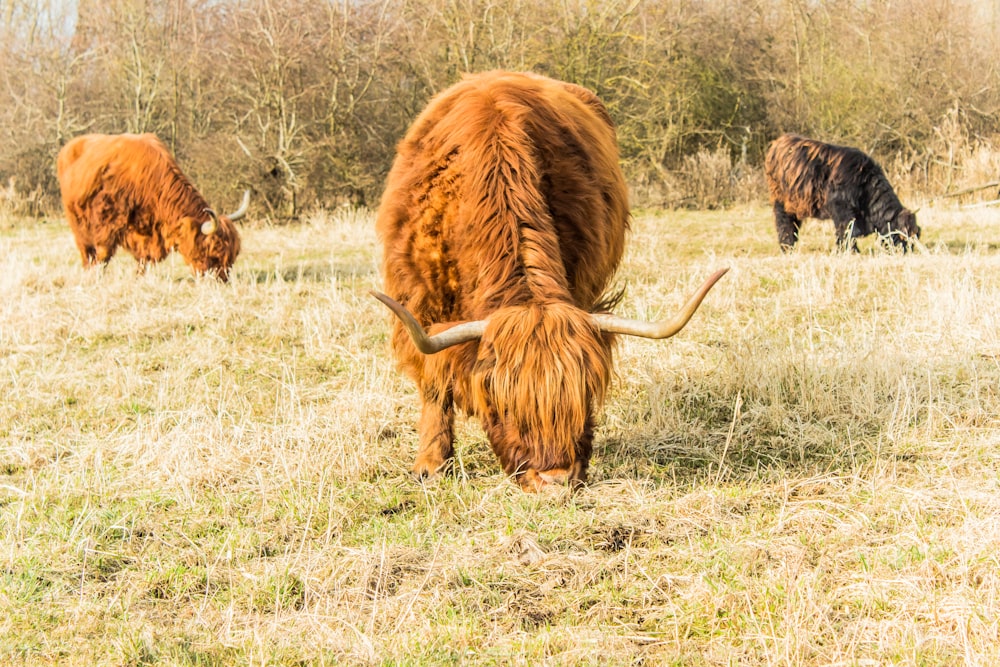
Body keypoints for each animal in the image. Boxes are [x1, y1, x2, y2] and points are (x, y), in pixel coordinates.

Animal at [57, 133, 250, 282]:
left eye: (233, 254)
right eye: (214, 250)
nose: (222, 279)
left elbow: (145, 259)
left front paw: (138, 278)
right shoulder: (106, 221)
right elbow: (104, 252)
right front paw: (97, 276)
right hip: (77, 222)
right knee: (86, 250)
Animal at [372, 70, 724, 494]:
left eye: (583, 395)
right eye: (504, 405)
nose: (553, 481)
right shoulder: (418, 301)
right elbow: (433, 380)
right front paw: (431, 464)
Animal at [764, 133, 920, 253]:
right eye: (902, 237)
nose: (906, 252)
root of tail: (778, 142)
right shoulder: (841, 209)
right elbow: (847, 230)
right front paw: (850, 251)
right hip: (781, 201)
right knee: (784, 223)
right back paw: (787, 247)